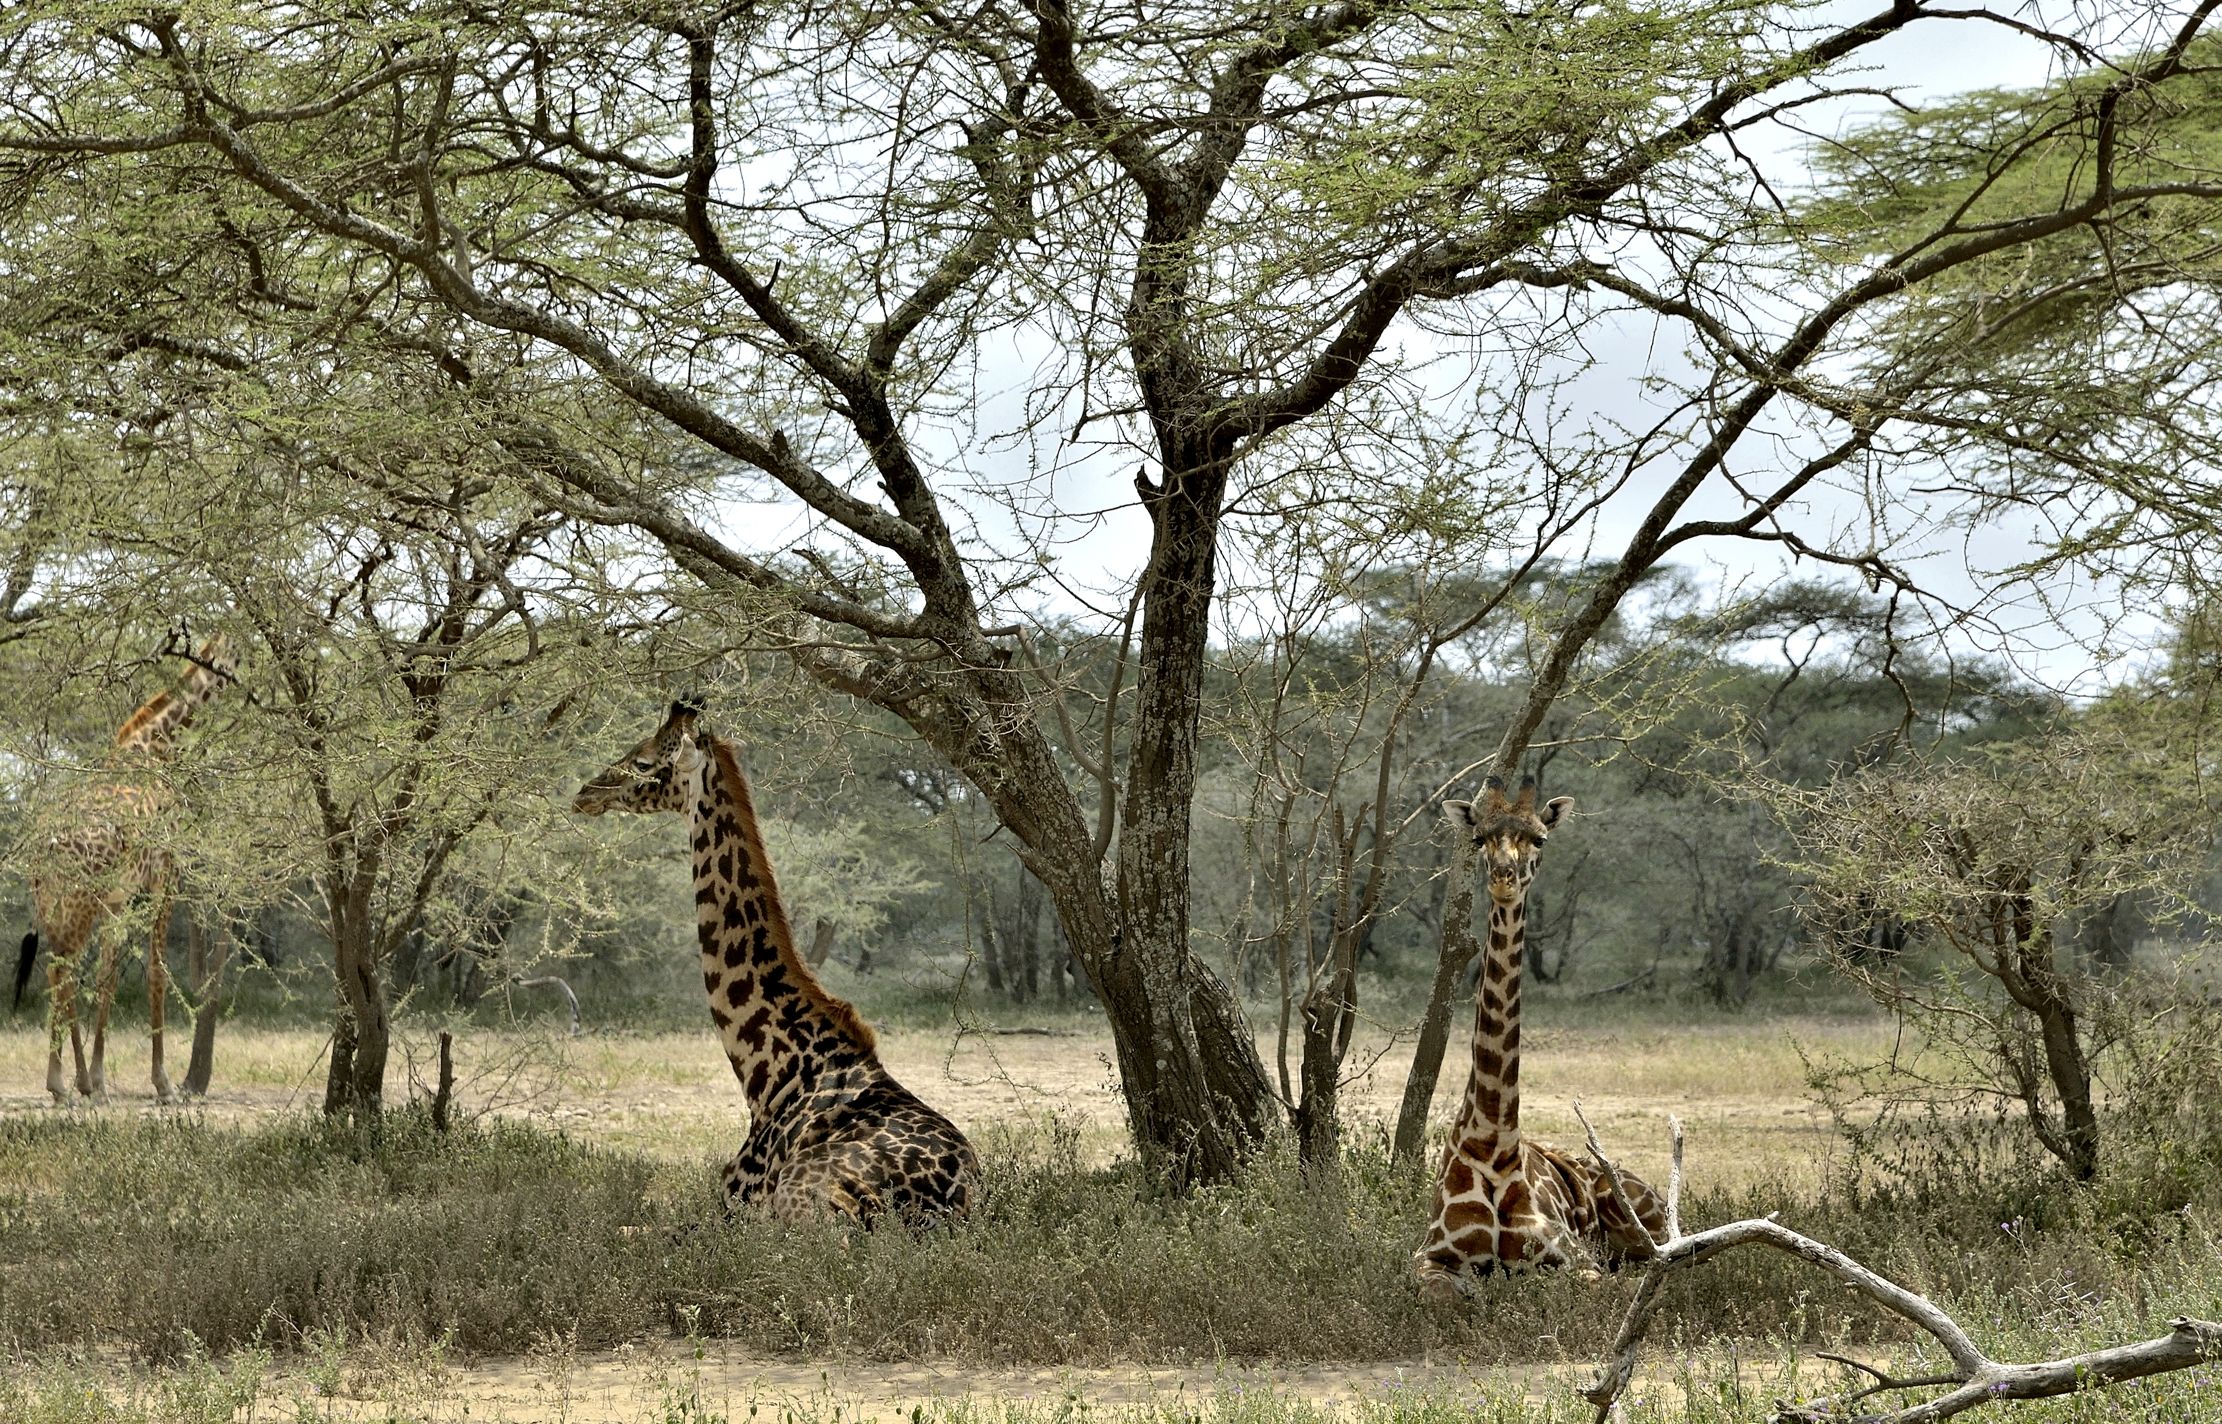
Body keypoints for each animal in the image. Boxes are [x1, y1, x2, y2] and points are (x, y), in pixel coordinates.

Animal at [15, 635, 236, 1104]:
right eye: (237, 654)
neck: (158, 749)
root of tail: (43, 850)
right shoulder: (166, 875)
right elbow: (157, 971)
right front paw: (163, 1084)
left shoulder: (119, 898)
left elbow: (108, 979)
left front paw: (100, 1078)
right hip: (79, 905)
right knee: (61, 973)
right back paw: (66, 1084)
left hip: (58, 906)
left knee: (59, 973)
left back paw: (73, 1083)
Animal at [574, 701, 978, 1226]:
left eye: (643, 761)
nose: (584, 793)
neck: (766, 1076)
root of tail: (955, 1193)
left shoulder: (738, 1208)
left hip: (804, 1202)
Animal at [1413, 773, 1667, 1302]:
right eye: (1479, 838)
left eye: (1540, 839)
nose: (1504, 878)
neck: (1493, 1144)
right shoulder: (1430, 1257)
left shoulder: (1575, 1259)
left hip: (1642, 1218)